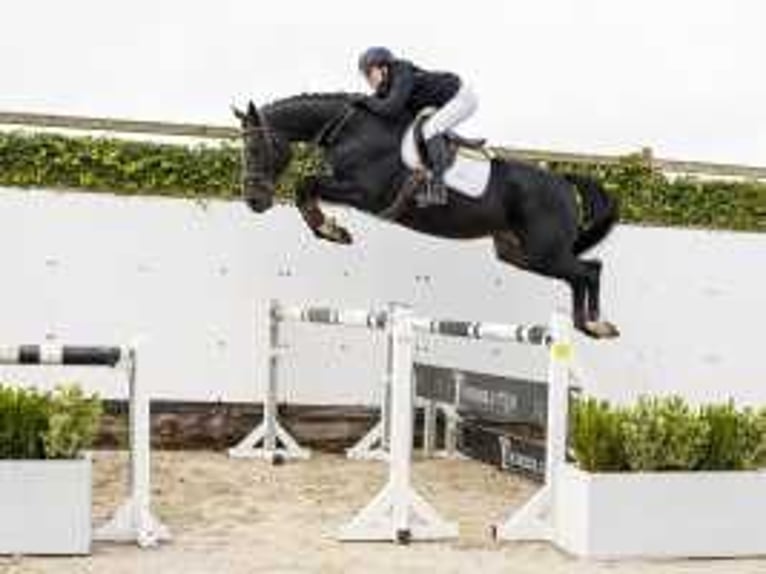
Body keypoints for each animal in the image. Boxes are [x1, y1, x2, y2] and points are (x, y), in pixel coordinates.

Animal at [236, 93, 624, 338]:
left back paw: (595, 325)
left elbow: (305, 184)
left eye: (255, 149)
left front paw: (331, 230)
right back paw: (589, 325)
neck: (350, 131)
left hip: (543, 253)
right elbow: (306, 188)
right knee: (583, 271)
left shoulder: (366, 194)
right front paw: (330, 229)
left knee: (589, 270)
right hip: (518, 253)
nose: (254, 200)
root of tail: (563, 180)